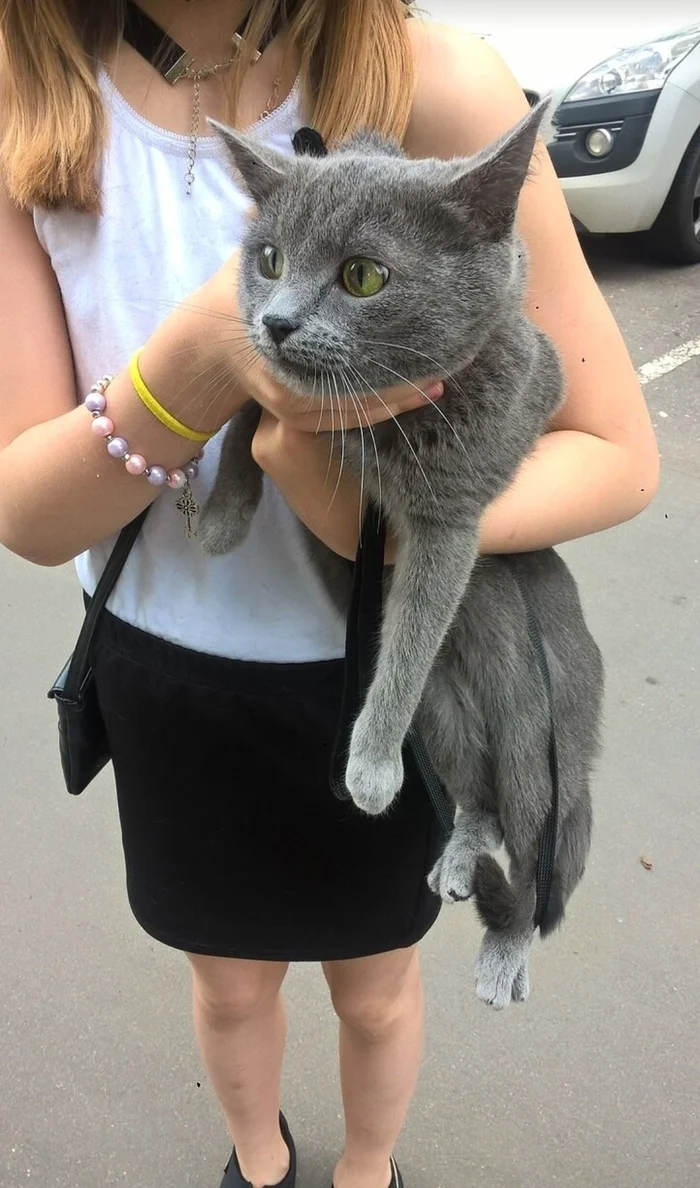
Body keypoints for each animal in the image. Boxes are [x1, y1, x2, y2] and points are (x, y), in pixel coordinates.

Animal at [199, 106, 603, 1007]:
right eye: (269, 259)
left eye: (362, 277)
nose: (277, 321)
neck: (373, 428)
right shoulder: (279, 394)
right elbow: (247, 409)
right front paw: (219, 519)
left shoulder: (455, 513)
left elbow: (415, 626)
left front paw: (372, 766)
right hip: (445, 716)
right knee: (475, 798)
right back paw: (458, 858)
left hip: (541, 724)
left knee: (540, 851)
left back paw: (506, 951)